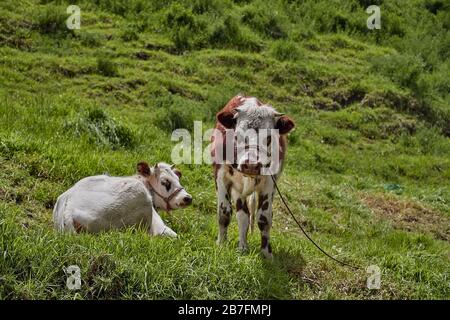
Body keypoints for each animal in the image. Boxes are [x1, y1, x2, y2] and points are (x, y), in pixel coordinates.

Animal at [212, 94, 296, 258]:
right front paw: (221, 244)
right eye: (237, 135)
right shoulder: (221, 177)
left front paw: (266, 253)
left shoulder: (270, 183)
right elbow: (224, 212)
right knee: (242, 215)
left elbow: (264, 218)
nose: (251, 165)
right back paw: (242, 246)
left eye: (269, 138)